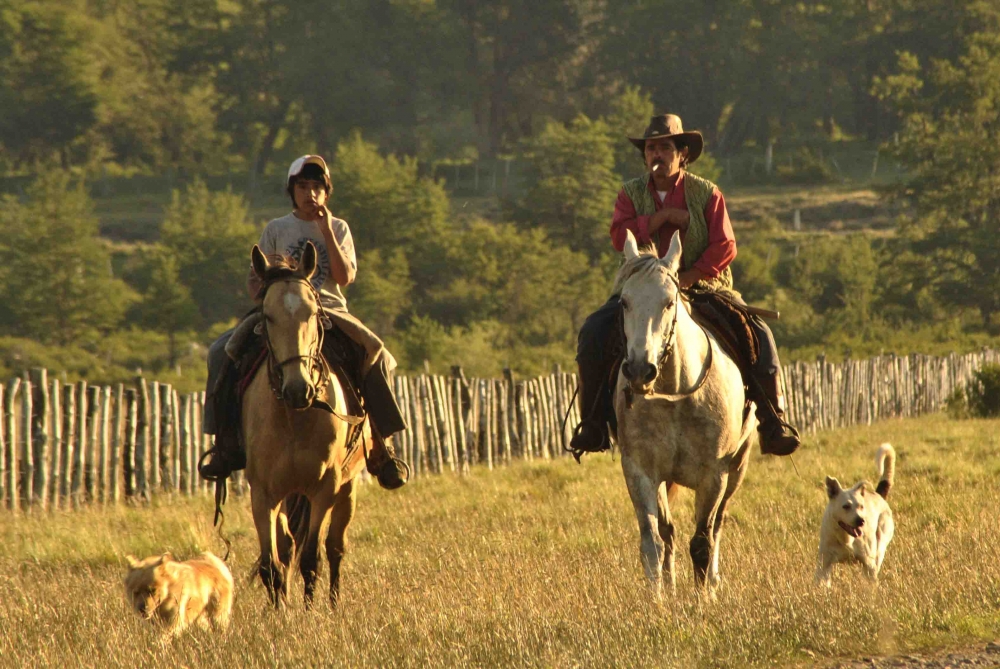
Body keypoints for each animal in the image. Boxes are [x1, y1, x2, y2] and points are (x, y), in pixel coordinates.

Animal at [242, 243, 368, 608]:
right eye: (267, 316)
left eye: (312, 313)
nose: (299, 389)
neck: (294, 417)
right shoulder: (263, 494)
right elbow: (271, 563)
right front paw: (279, 610)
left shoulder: (325, 488)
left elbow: (313, 558)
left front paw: (311, 612)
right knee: (286, 546)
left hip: (347, 488)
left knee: (335, 547)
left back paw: (334, 603)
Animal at [612, 230, 752, 596]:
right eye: (624, 302)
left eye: (668, 302)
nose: (639, 370)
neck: (674, 394)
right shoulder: (640, 472)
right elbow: (652, 544)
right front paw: (658, 601)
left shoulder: (714, 475)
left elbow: (702, 542)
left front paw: (704, 600)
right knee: (668, 534)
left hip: (738, 466)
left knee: (717, 526)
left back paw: (713, 581)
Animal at [816, 444, 896, 584]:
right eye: (846, 506)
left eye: (861, 506)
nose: (861, 521)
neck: (845, 538)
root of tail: (878, 495)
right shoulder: (824, 565)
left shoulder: (869, 565)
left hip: (880, 544)